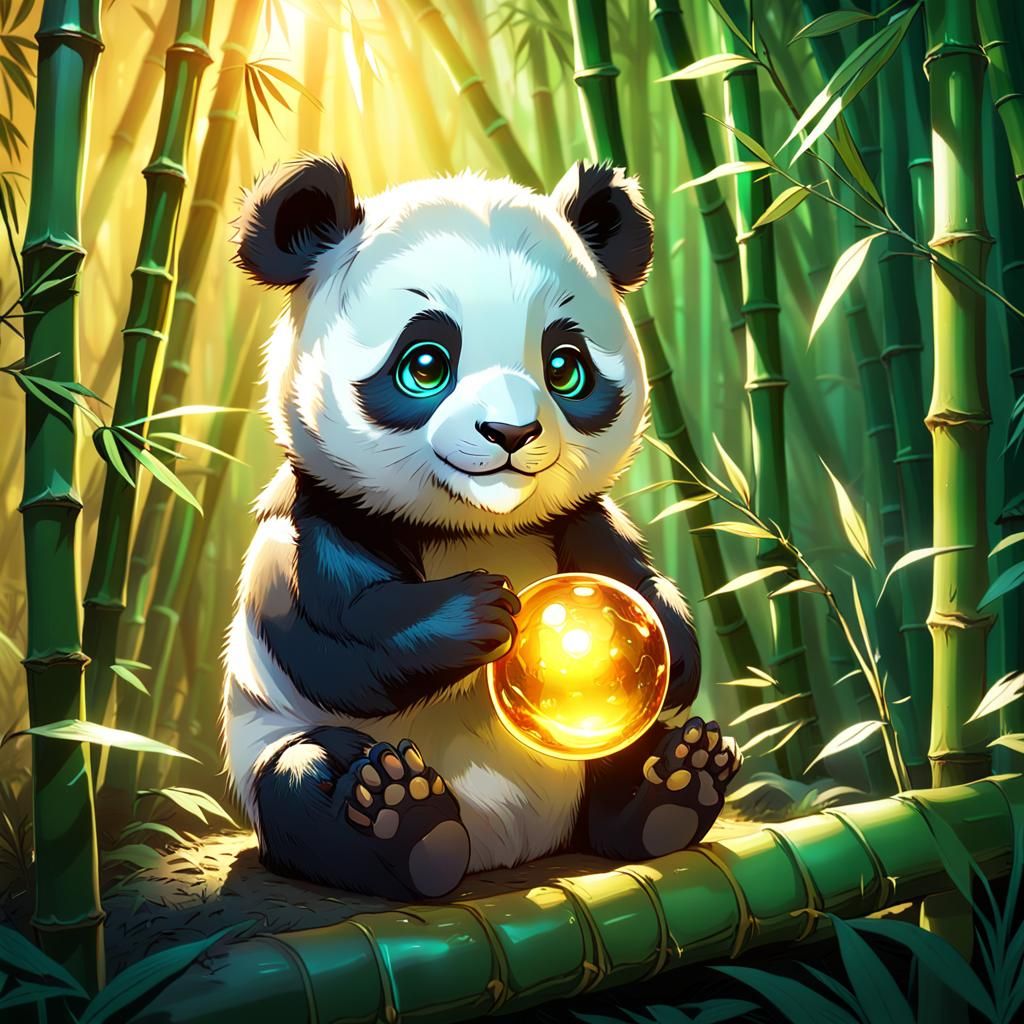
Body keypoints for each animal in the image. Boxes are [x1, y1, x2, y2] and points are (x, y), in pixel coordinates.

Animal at [221, 155, 742, 900]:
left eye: (564, 367)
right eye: (425, 364)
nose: (511, 432)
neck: (477, 527)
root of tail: (509, 847)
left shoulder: (578, 520)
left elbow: (643, 590)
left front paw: (666, 641)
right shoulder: (311, 519)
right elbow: (338, 636)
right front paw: (481, 611)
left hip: (592, 744)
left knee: (622, 762)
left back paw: (674, 784)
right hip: (280, 740)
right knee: (305, 778)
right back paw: (403, 821)